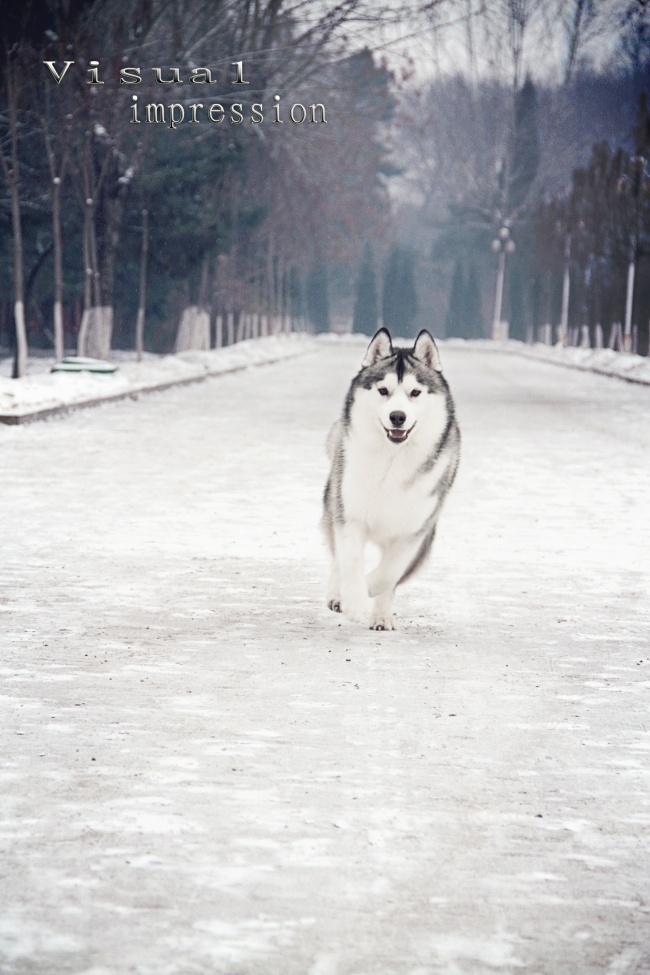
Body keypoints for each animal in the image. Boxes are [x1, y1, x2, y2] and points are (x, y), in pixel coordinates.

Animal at [322, 328, 458, 632]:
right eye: (383, 391)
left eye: (415, 392)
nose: (398, 416)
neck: (392, 461)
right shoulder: (350, 515)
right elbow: (350, 560)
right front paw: (354, 600)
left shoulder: (415, 530)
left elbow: (390, 573)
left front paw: (369, 592)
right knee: (337, 558)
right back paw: (338, 595)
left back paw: (381, 616)